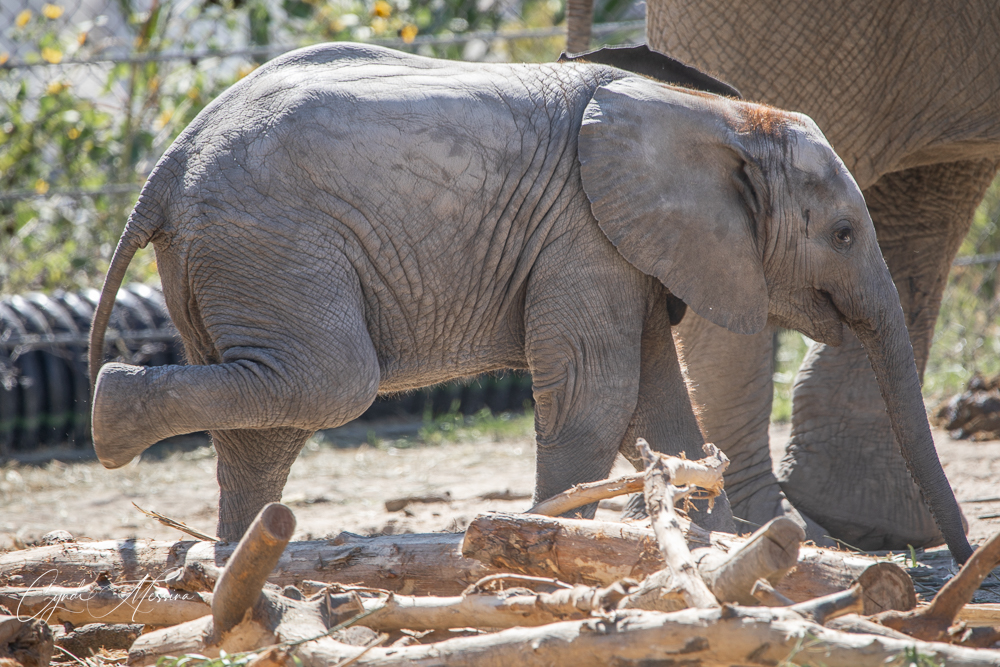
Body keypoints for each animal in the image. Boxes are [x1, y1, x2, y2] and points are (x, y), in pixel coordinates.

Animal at [87, 42, 971, 562]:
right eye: (845, 234)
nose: (960, 557)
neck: (722, 118)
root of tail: (167, 165)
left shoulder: (623, 241)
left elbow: (655, 401)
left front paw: (727, 538)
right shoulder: (583, 233)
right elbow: (597, 391)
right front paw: (550, 538)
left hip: (238, 257)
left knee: (273, 417)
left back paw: (235, 561)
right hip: (273, 243)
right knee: (333, 382)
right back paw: (110, 416)